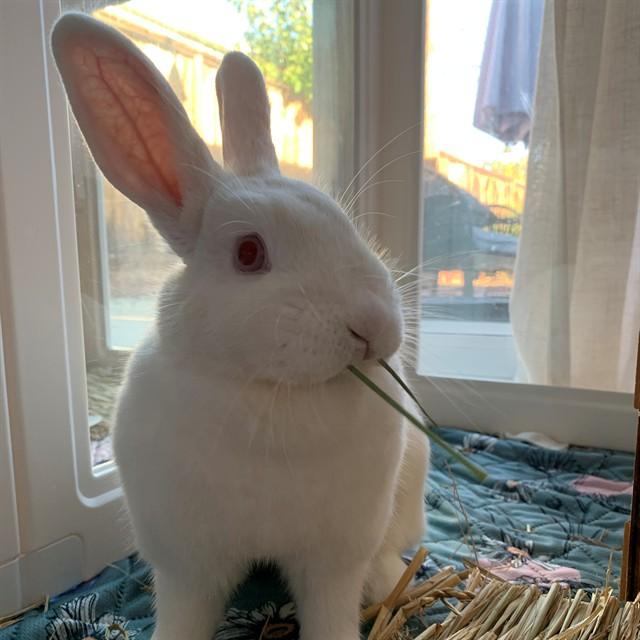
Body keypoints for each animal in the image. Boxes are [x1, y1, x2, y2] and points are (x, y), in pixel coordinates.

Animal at [51, 13, 430, 640]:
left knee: (387, 555)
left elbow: (332, 611)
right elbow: (184, 616)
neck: (271, 394)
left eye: (345, 224)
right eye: (249, 254)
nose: (373, 326)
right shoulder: (187, 564)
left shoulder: (333, 560)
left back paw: (386, 584)